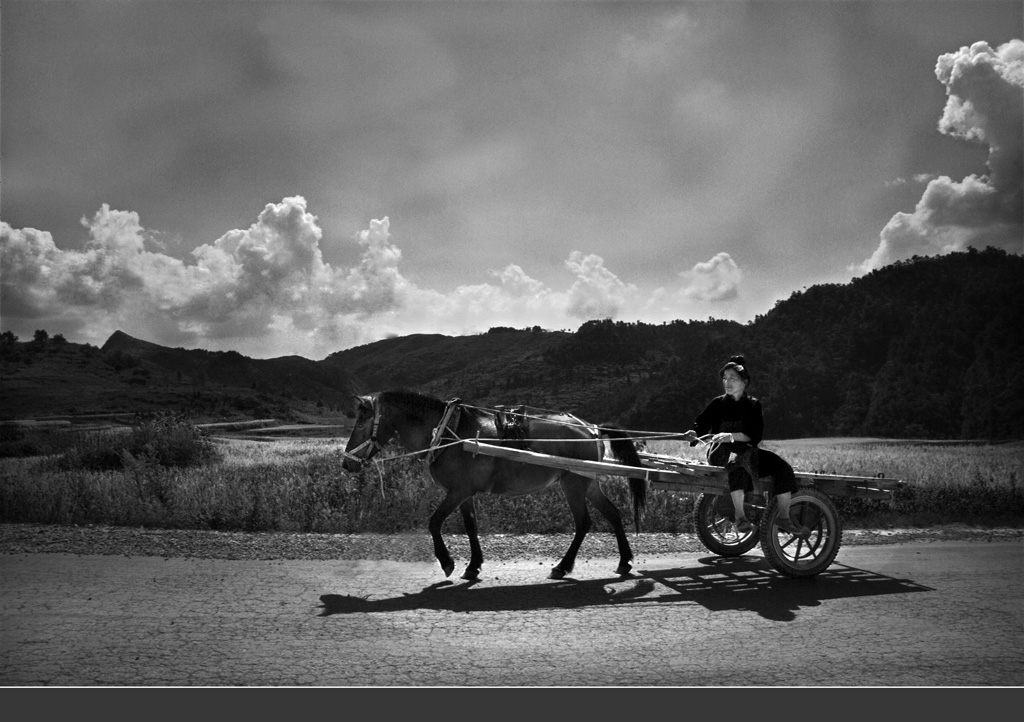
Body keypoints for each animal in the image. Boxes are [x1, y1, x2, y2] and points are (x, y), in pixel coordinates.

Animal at [342, 389, 647, 581]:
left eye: (362, 422)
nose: (347, 464)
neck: (446, 432)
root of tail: (591, 428)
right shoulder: (465, 493)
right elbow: (470, 526)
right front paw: (473, 566)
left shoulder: (457, 491)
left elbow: (434, 522)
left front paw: (447, 562)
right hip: (588, 482)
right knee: (613, 514)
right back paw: (624, 561)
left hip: (574, 483)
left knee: (584, 522)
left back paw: (562, 566)